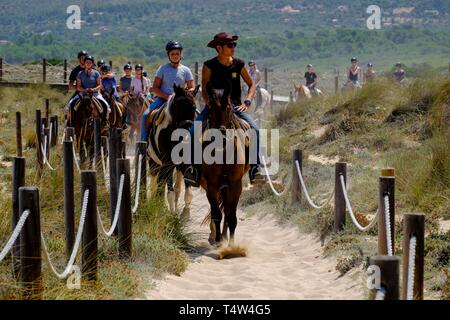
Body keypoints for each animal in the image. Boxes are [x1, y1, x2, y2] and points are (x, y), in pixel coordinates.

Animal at [147, 85, 200, 215]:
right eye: (176, 106)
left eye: (193, 106)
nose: (186, 131)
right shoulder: (167, 163)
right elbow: (169, 190)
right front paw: (171, 213)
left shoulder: (186, 163)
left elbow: (187, 191)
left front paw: (185, 212)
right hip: (153, 162)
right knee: (156, 182)